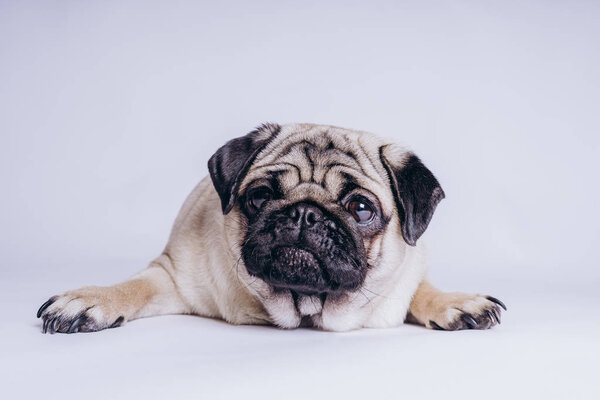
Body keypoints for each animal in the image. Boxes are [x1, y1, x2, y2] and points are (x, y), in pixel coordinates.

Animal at [36, 122, 506, 334]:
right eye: (260, 197)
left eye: (360, 208)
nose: (305, 214)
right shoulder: (171, 273)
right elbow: (133, 286)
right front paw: (90, 300)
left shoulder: (406, 275)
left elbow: (421, 289)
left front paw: (457, 302)